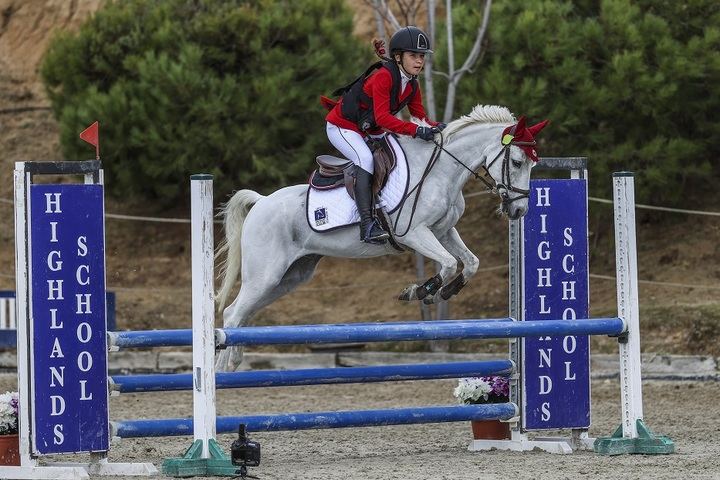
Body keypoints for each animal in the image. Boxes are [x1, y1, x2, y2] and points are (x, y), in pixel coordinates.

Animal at [214, 105, 552, 370]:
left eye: (533, 163)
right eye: (517, 162)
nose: (519, 210)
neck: (441, 171)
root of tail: (261, 202)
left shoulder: (443, 231)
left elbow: (470, 262)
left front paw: (445, 291)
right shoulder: (414, 233)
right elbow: (447, 263)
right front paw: (419, 290)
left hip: (290, 277)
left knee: (243, 314)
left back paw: (234, 360)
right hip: (266, 274)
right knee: (232, 314)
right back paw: (221, 370)